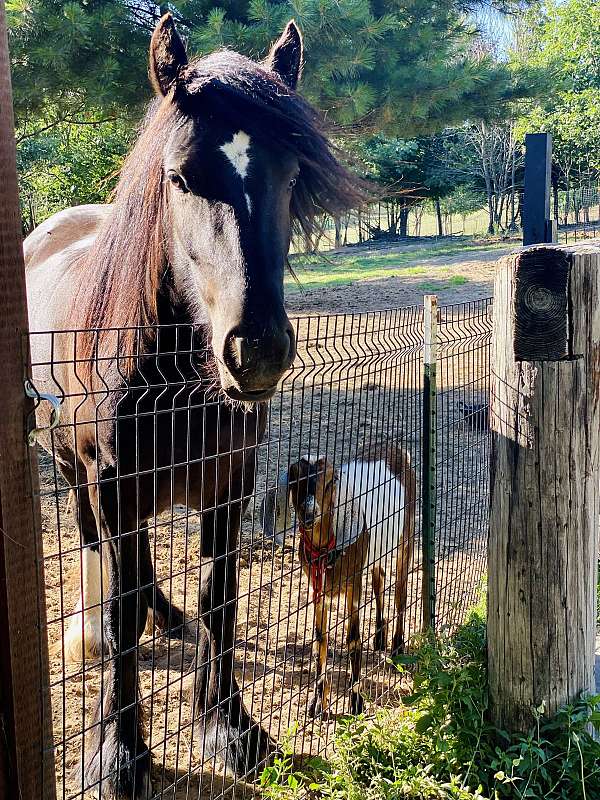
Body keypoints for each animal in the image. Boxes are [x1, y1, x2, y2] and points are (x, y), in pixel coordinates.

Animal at [24, 15, 366, 796]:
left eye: (291, 175)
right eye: (179, 176)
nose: (257, 350)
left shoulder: (228, 484)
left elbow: (220, 598)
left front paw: (229, 727)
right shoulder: (112, 482)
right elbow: (121, 612)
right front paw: (118, 754)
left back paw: (167, 616)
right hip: (71, 465)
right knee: (93, 544)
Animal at [284, 446, 414, 716]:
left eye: (331, 481)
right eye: (293, 479)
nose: (308, 513)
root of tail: (396, 448)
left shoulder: (353, 584)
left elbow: (353, 639)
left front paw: (356, 702)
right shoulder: (317, 588)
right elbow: (320, 639)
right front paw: (317, 703)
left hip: (406, 537)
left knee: (400, 591)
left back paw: (397, 648)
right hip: (376, 552)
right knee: (378, 580)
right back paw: (379, 637)